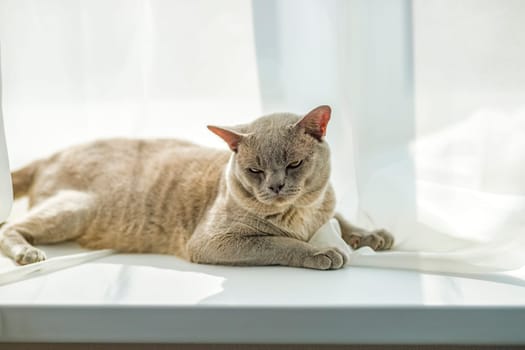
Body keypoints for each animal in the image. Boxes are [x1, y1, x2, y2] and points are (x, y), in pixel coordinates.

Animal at [0, 105, 392, 270]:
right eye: (255, 170)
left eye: (294, 164)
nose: (277, 186)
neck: (302, 213)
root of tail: (51, 154)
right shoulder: (214, 240)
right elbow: (281, 243)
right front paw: (323, 252)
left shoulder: (326, 203)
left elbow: (341, 217)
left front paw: (373, 235)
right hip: (75, 208)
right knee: (10, 228)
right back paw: (28, 254)